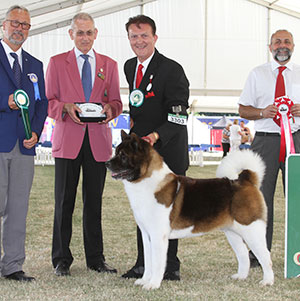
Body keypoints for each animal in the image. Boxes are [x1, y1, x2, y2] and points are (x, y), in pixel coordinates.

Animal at [105, 131, 274, 288]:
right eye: (116, 152)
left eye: (123, 155)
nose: (106, 163)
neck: (146, 182)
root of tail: (245, 180)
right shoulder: (146, 235)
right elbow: (148, 261)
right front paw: (144, 280)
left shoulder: (158, 235)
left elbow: (157, 262)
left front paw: (153, 284)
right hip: (232, 232)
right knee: (243, 254)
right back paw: (240, 277)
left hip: (252, 230)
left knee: (265, 255)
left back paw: (267, 281)